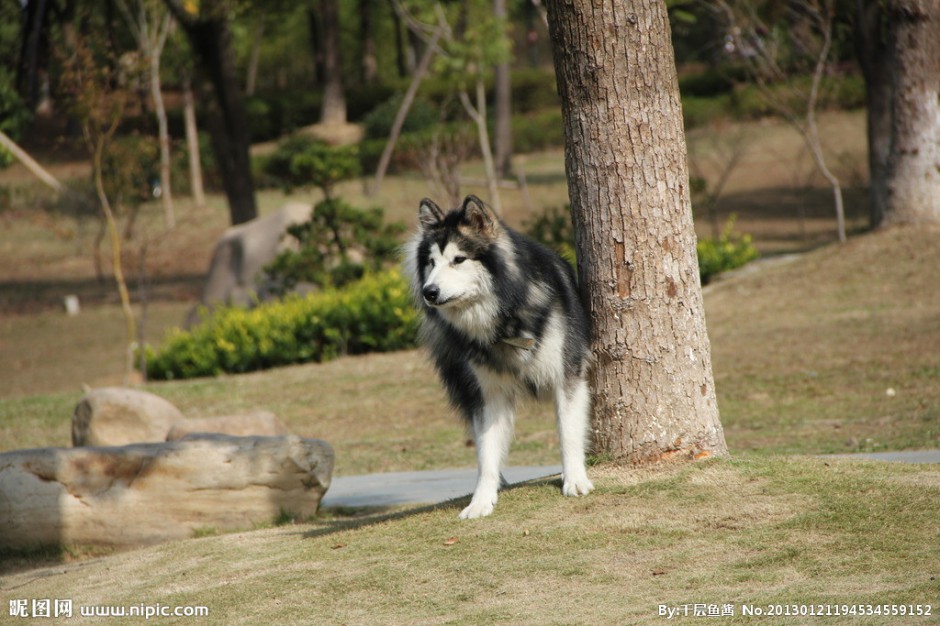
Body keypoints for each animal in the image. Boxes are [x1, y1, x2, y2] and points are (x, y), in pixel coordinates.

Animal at [404, 195, 596, 516]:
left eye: (459, 260)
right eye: (431, 262)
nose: (429, 291)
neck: (505, 314)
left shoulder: (567, 374)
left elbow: (568, 431)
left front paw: (575, 479)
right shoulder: (488, 393)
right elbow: (486, 449)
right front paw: (481, 499)